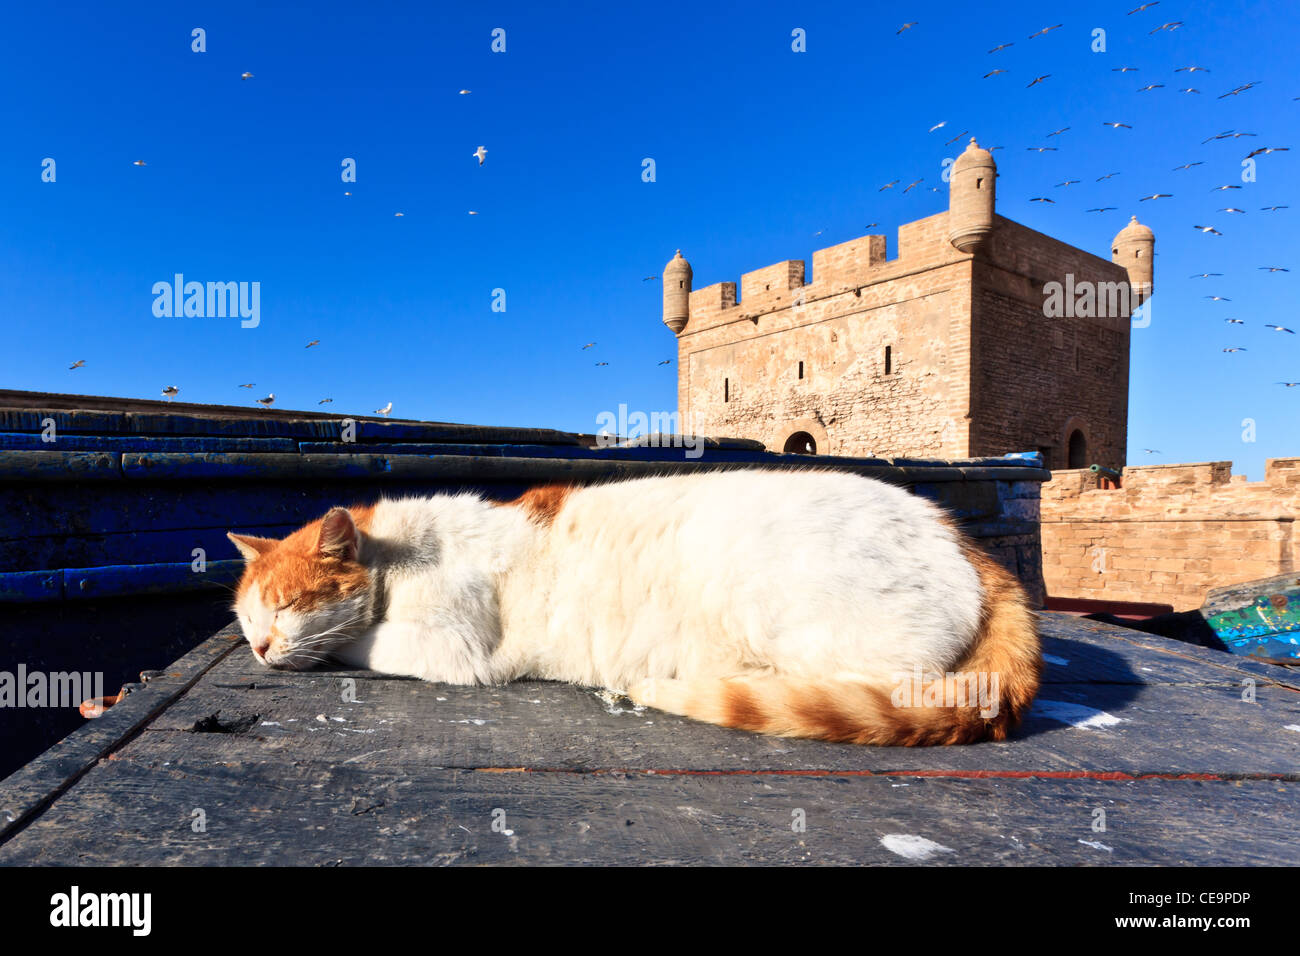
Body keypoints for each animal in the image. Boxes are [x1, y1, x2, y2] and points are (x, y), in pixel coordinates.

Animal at [228, 470, 1040, 749]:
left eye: (288, 606)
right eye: (246, 621)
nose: (261, 649)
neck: (401, 556)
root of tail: (961, 537)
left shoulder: (457, 648)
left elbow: (362, 641)